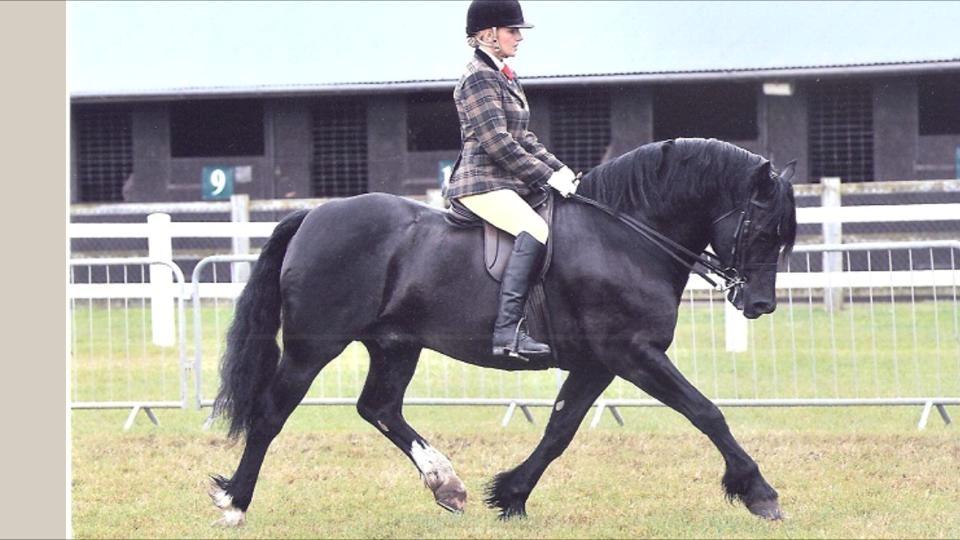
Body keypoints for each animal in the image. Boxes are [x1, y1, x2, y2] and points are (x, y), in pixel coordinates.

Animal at [214, 137, 800, 524]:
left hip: (395, 345)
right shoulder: (632, 353)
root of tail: (312, 216)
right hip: (313, 346)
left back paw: (447, 485)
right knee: (271, 413)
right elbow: (706, 412)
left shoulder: (597, 363)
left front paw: (511, 494)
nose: (760, 304)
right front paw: (760, 492)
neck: (625, 236)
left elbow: (559, 430)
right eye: (764, 231)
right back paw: (234, 502)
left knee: (379, 408)